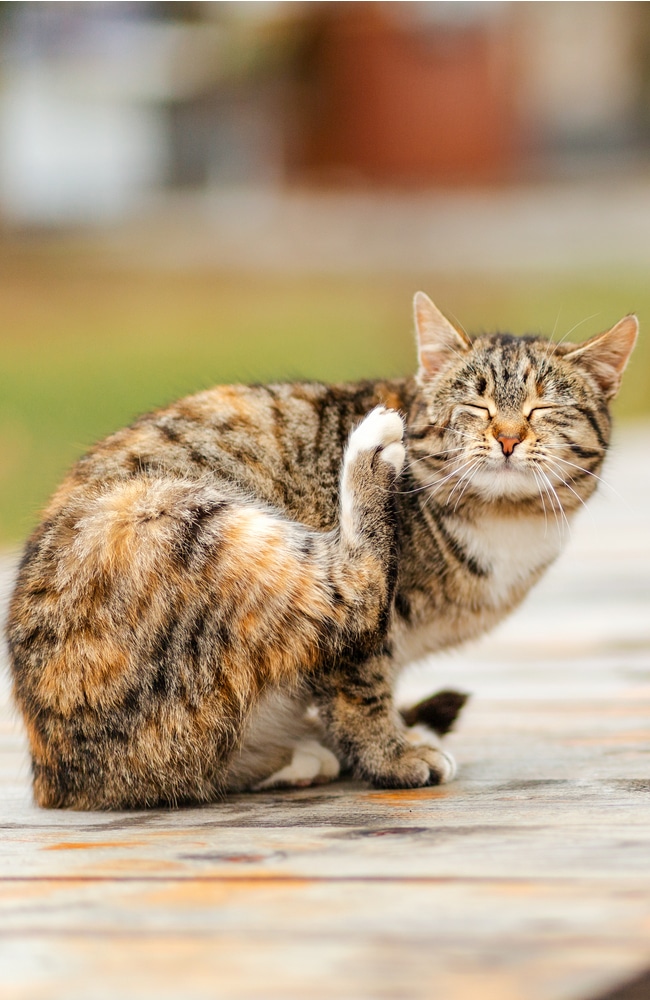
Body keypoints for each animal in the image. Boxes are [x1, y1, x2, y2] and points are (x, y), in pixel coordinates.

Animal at [3, 292, 632, 808]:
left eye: (542, 409)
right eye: (476, 407)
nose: (506, 437)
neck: (505, 520)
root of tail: (56, 777)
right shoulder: (365, 648)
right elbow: (360, 688)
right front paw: (392, 755)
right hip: (179, 519)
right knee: (351, 590)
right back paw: (368, 453)